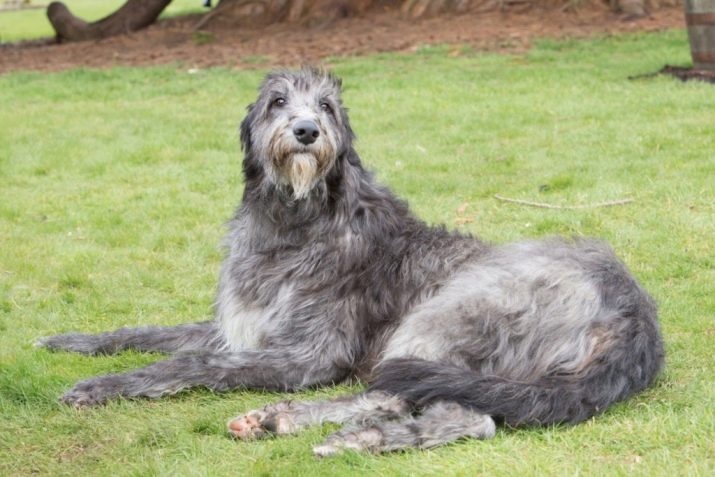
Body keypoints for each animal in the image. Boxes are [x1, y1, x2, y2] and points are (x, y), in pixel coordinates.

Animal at [39, 66, 664, 454]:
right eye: (278, 101)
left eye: (327, 107)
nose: (306, 131)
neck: (295, 220)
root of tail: (636, 319)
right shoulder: (238, 325)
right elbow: (148, 332)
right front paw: (71, 341)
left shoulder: (308, 355)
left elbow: (191, 364)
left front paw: (100, 386)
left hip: (453, 311)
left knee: (449, 407)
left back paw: (310, 424)